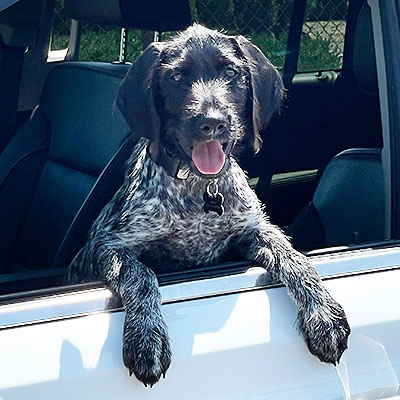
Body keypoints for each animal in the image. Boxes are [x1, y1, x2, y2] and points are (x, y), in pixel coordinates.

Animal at [65, 24, 350, 388]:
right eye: (175, 78)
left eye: (230, 73)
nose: (211, 122)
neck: (199, 188)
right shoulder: (106, 245)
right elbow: (141, 275)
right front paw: (146, 336)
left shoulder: (254, 231)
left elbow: (295, 258)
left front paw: (324, 313)